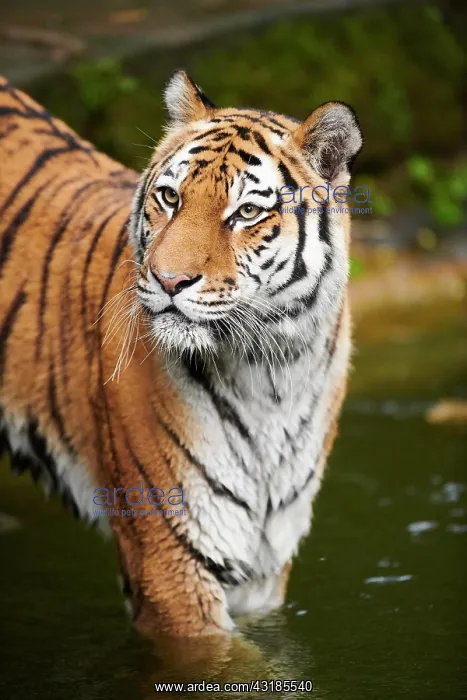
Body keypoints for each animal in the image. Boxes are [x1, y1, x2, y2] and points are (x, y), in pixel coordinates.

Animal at [0, 70, 362, 636]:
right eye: (170, 197)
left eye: (247, 212)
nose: (169, 280)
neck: (270, 375)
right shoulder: (170, 555)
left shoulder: (265, 563)